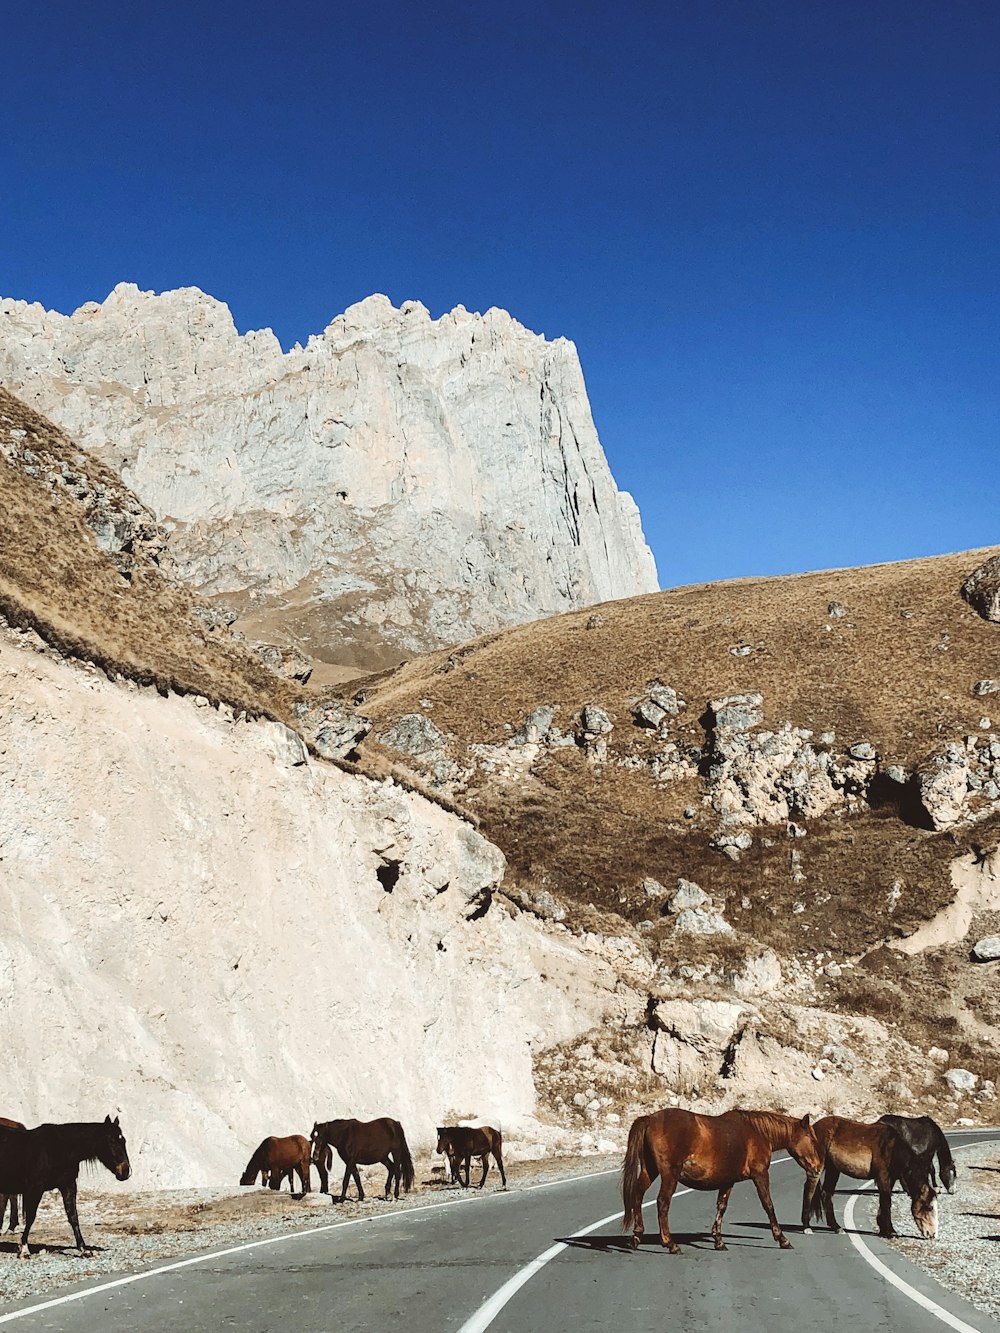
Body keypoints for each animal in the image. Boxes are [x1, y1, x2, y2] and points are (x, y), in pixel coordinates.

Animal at [0, 1114, 131, 1258]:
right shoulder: (36, 1189)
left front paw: (84, 1249)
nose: (126, 1171)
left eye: (124, 1141)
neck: (59, 1148)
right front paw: (24, 1249)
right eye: (111, 1141)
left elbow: (73, 1216)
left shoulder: (68, 1185)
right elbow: (31, 1217)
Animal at [618, 1109, 821, 1253]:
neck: (757, 1132)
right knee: (662, 1202)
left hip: (649, 1171)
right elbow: (768, 1205)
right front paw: (782, 1239)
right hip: (669, 1175)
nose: (818, 1167)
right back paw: (670, 1244)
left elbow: (721, 1207)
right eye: (811, 1139)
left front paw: (718, 1241)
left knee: (638, 1196)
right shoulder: (761, 1175)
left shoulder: (727, 1182)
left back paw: (637, 1236)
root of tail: (649, 1119)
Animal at [800, 1114, 938, 1237]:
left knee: (826, 1194)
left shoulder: (891, 1178)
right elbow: (886, 1202)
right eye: (929, 1208)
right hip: (818, 1166)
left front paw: (885, 1229)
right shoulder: (882, 1176)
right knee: (809, 1190)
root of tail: (813, 1127)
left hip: (833, 1169)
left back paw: (837, 1227)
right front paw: (889, 1231)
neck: (892, 1148)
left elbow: (885, 1200)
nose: (933, 1234)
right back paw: (807, 1227)